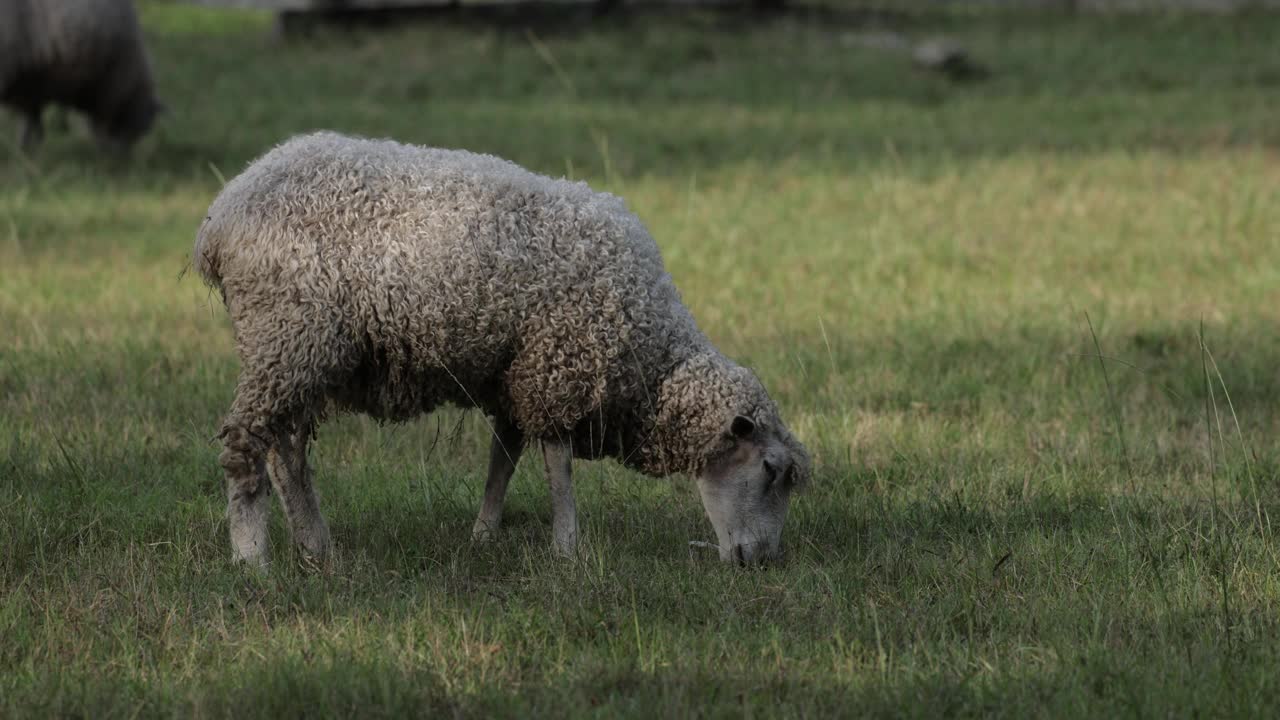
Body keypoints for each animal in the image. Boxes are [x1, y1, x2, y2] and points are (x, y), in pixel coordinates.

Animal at [0, 0, 162, 149]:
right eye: (143, 129)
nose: (122, 159)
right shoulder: (109, 93)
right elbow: (101, 126)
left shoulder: (34, 87)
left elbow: (33, 123)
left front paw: (27, 150)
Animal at [192, 130, 808, 566]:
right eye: (770, 469)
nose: (760, 562)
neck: (651, 363)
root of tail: (221, 216)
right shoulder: (558, 365)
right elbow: (558, 466)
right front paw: (567, 547)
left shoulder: (514, 376)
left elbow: (503, 460)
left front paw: (483, 534)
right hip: (288, 333)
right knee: (248, 446)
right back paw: (253, 559)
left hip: (300, 351)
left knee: (287, 452)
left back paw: (316, 547)